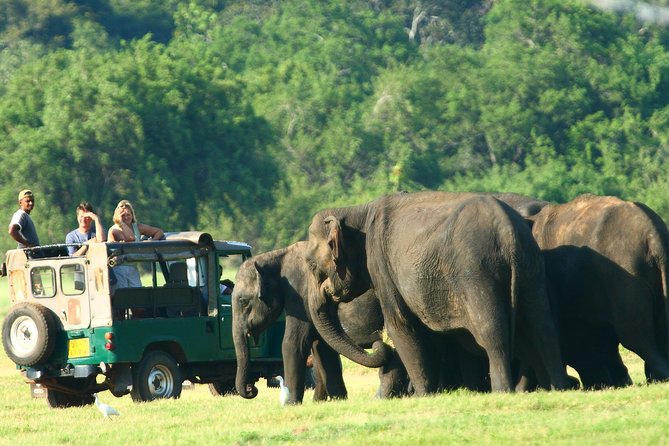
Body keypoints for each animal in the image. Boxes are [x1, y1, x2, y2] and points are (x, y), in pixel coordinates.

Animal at [232, 244, 410, 404]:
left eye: (243, 302)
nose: (251, 389)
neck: (276, 256)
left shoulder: (301, 294)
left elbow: (294, 342)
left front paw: (292, 403)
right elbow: (321, 346)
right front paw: (336, 399)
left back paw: (382, 397)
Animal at [306, 191, 572, 394]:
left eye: (311, 264)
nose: (377, 343)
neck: (357, 212)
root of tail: (508, 233)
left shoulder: (382, 267)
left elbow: (401, 326)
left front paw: (422, 395)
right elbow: (428, 334)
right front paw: (431, 393)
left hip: (477, 273)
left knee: (493, 333)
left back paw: (503, 391)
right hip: (531, 269)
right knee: (542, 326)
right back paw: (558, 388)